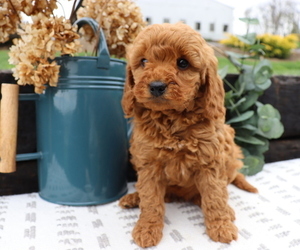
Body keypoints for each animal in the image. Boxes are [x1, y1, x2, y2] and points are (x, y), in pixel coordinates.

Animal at [119, 22, 258, 248]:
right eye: (144, 61)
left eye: (183, 63)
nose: (156, 86)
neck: (172, 120)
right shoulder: (148, 163)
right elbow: (150, 199)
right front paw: (147, 229)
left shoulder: (210, 163)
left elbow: (214, 196)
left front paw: (221, 227)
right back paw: (133, 198)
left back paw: (226, 211)